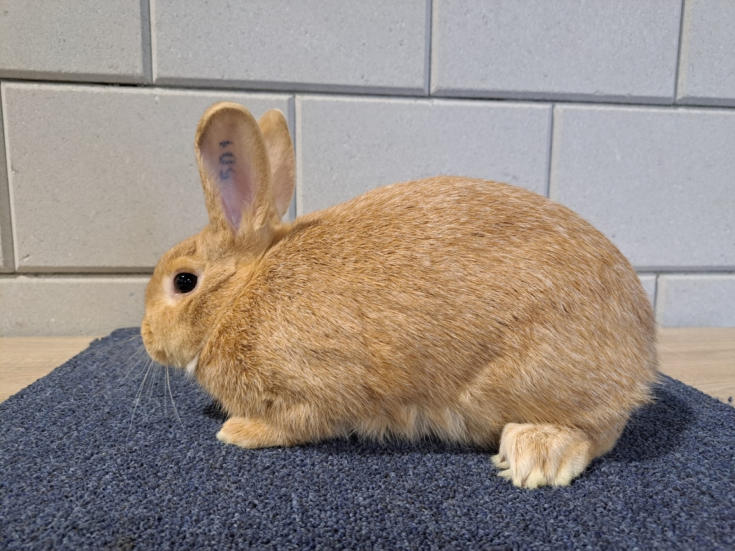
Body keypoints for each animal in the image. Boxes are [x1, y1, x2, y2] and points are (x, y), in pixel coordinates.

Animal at [141, 101, 657, 489]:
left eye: (183, 281)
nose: (147, 338)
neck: (238, 297)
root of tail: (642, 351)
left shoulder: (311, 388)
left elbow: (295, 424)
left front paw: (236, 431)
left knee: (600, 430)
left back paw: (535, 456)